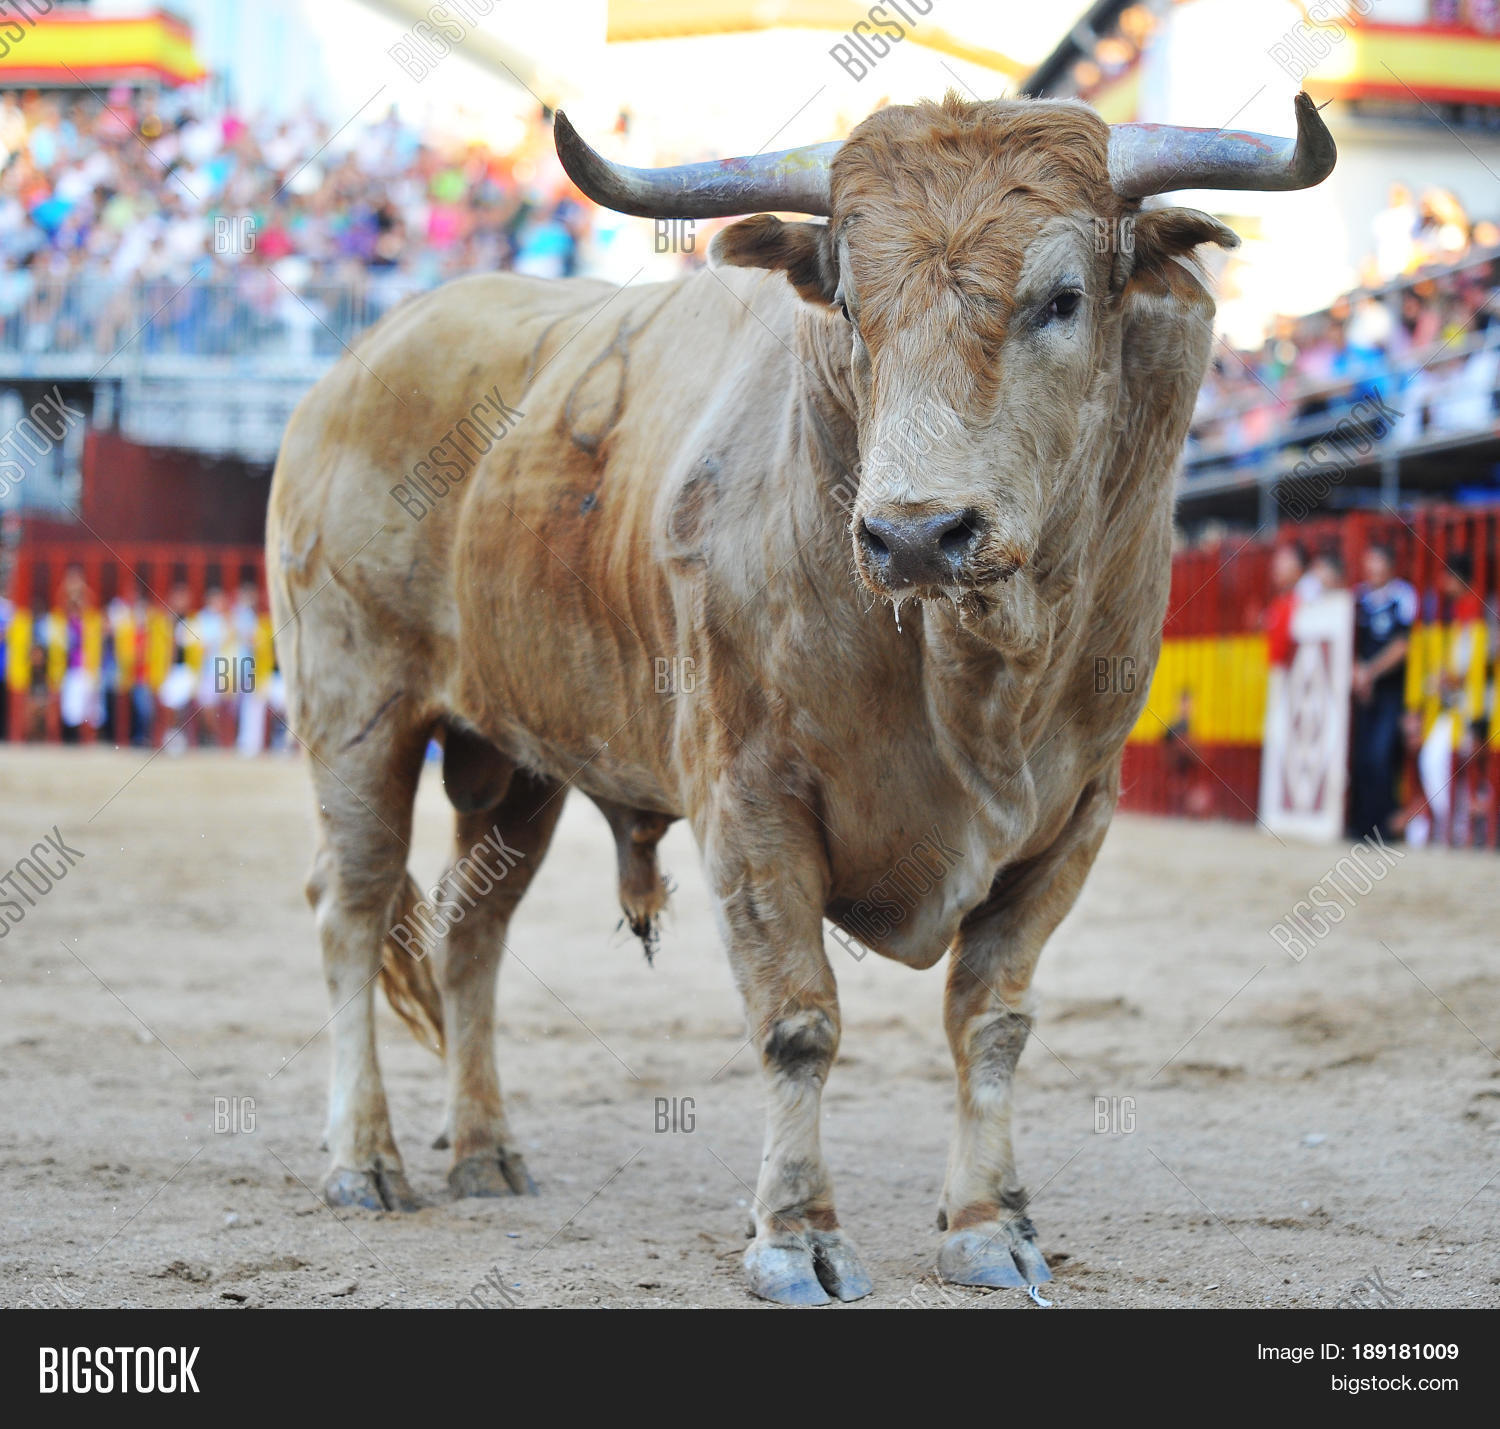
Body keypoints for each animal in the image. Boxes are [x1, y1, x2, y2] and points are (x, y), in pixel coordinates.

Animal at [266, 91, 1333, 1305]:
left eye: (1062, 299)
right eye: (855, 304)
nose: (915, 533)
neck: (976, 671)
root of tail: (361, 363)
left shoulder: (1075, 816)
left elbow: (992, 1020)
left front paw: (989, 1221)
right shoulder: (750, 804)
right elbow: (798, 1020)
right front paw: (796, 1234)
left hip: (521, 765)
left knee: (471, 933)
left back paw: (487, 1149)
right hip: (357, 716)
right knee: (354, 909)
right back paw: (364, 1157)